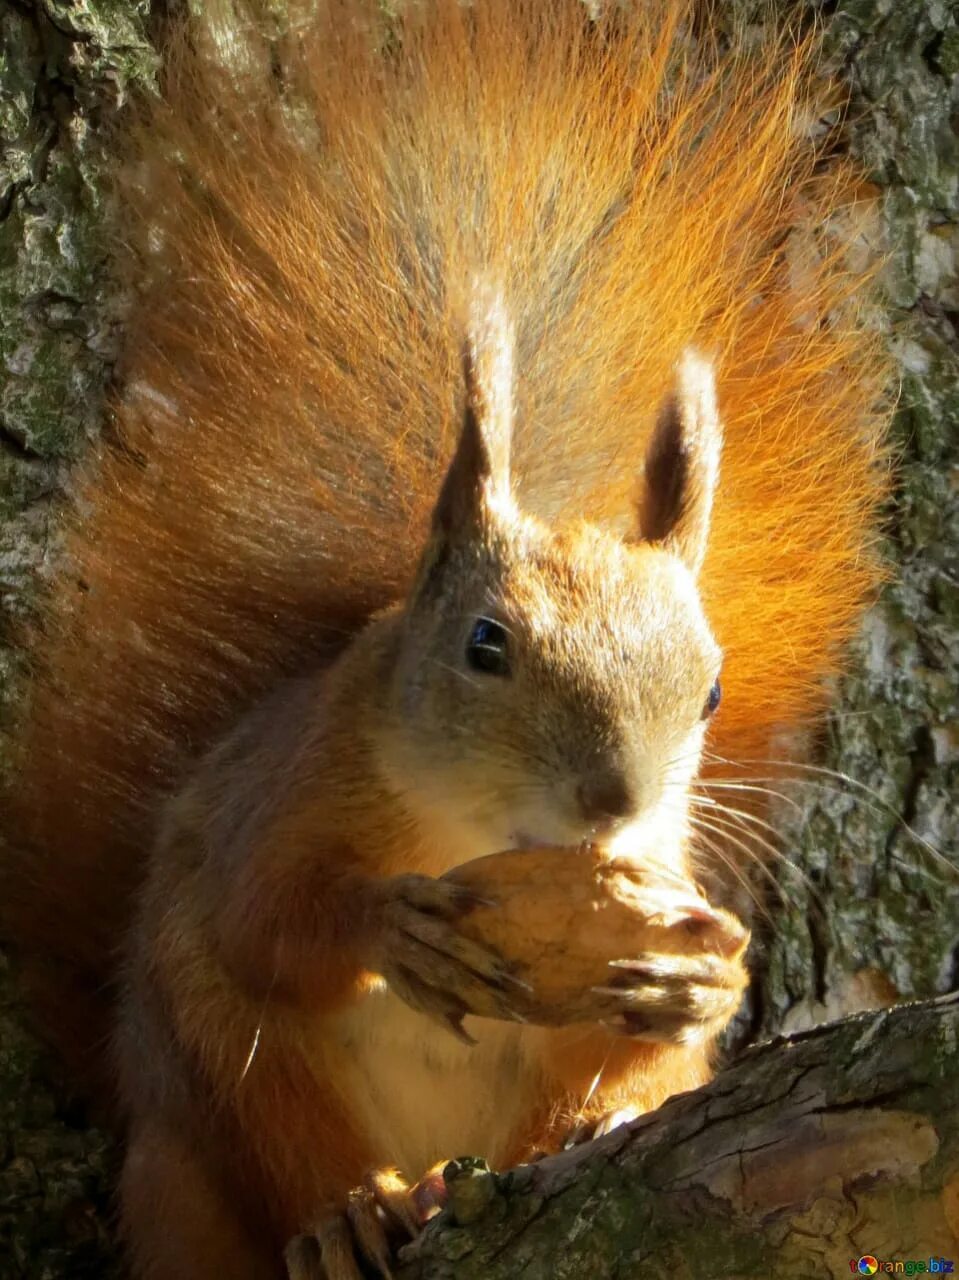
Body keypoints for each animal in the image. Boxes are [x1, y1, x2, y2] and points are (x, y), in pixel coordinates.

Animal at [3, 2, 891, 1280]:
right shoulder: (288, 793)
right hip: (214, 1110)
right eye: (484, 645)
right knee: (267, 1135)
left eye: (712, 690)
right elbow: (260, 920)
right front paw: (391, 926)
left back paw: (573, 1131)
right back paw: (348, 1212)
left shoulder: (657, 866)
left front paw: (698, 972)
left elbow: (671, 1005)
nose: (611, 799)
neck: (479, 829)